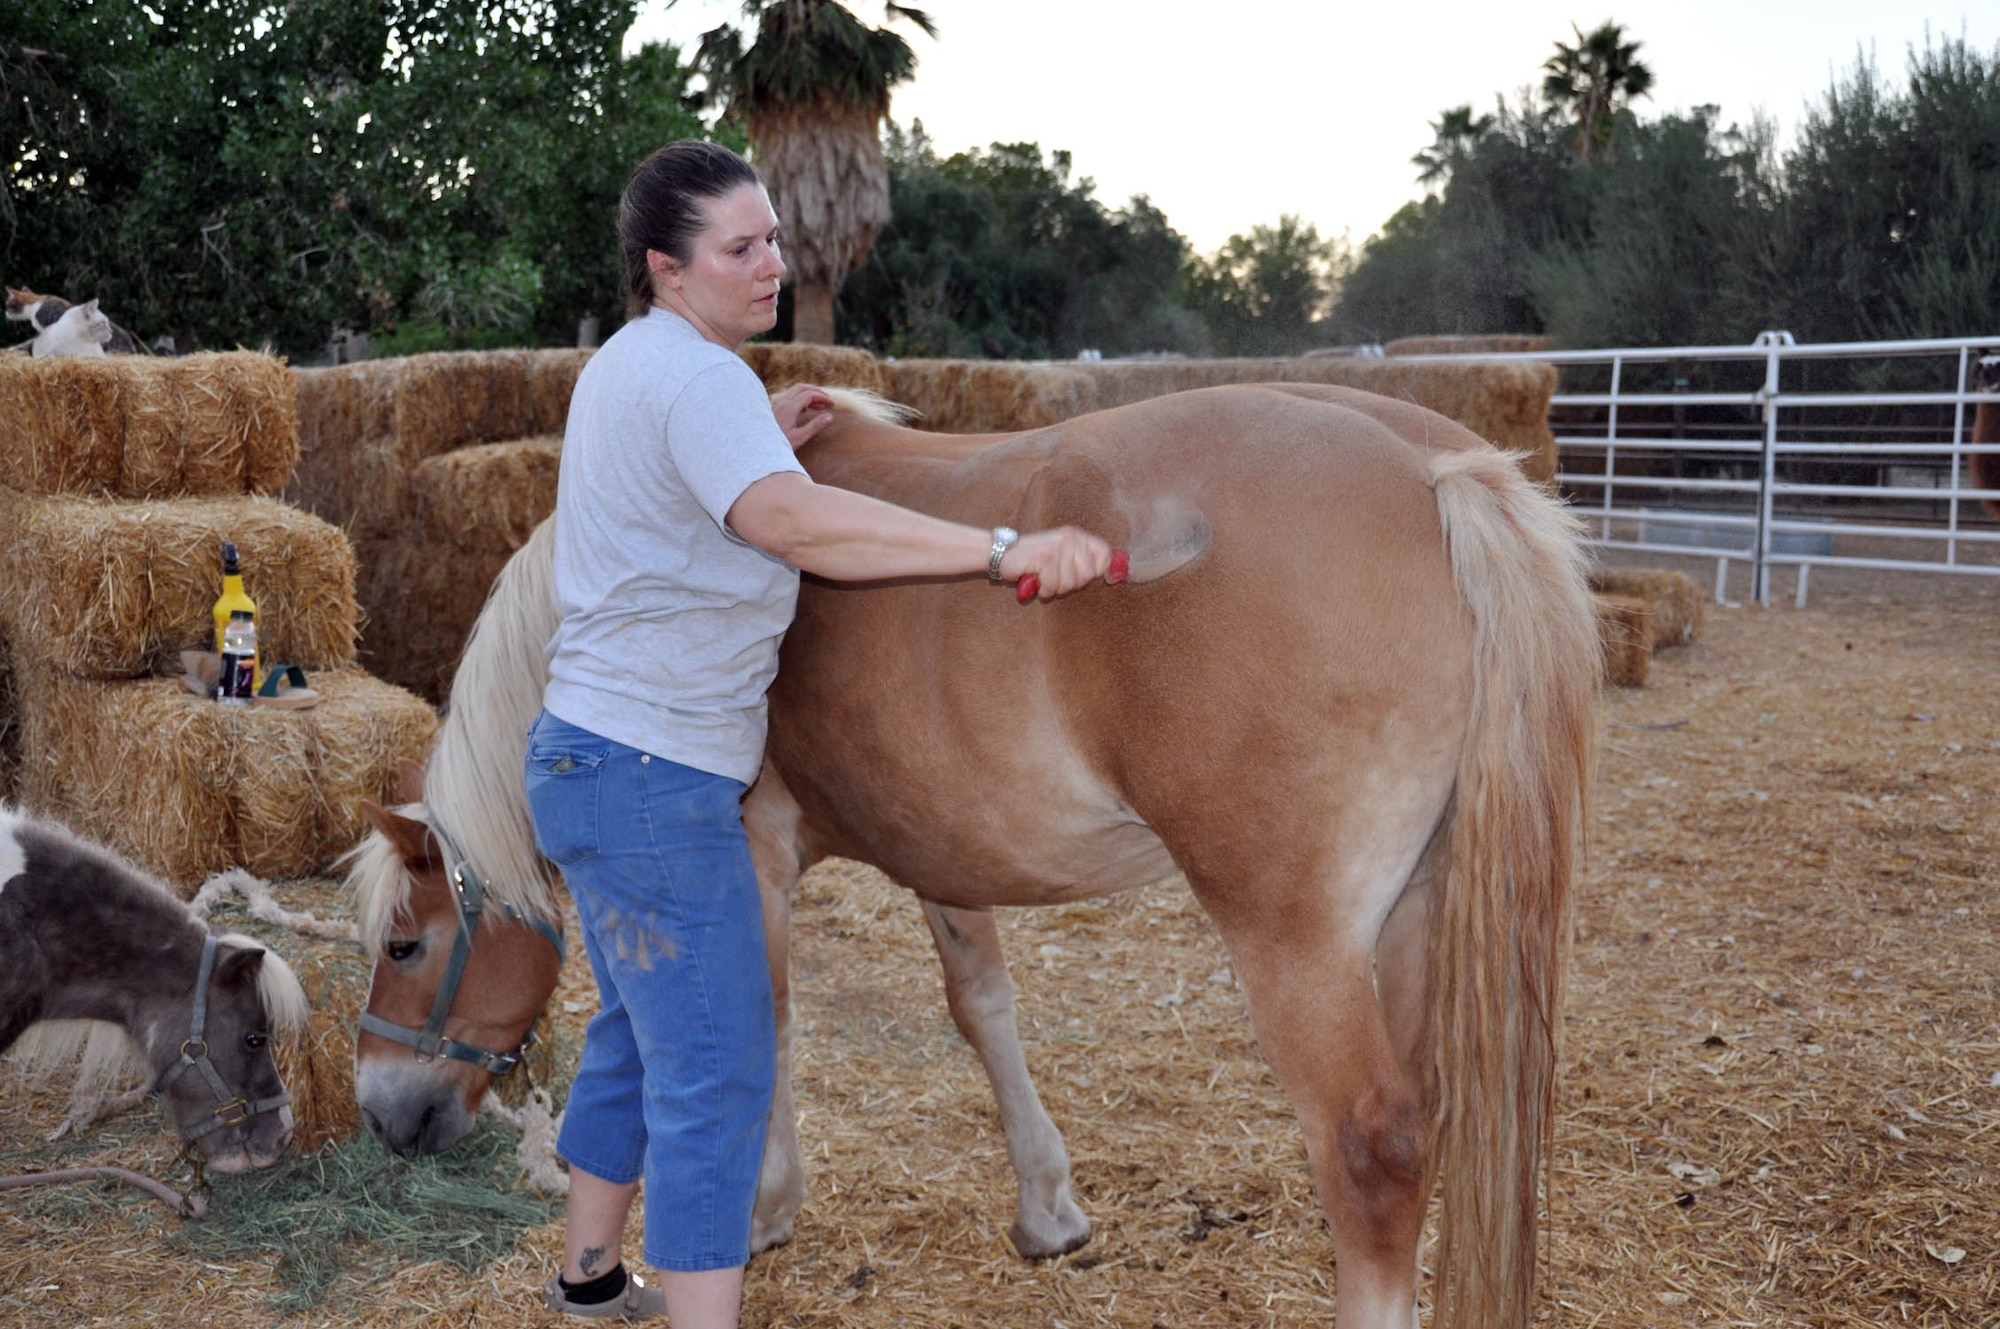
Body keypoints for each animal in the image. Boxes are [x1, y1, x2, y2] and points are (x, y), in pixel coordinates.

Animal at [344, 384, 1592, 1329]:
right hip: (1413, 916)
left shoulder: (750, 854)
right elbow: (981, 1008)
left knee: (1372, 1154)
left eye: (405, 945)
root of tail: (1431, 470)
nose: (382, 1113)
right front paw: (1047, 1208)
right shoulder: (945, 852)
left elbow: (766, 1022)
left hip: (1298, 941)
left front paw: (764, 1208)